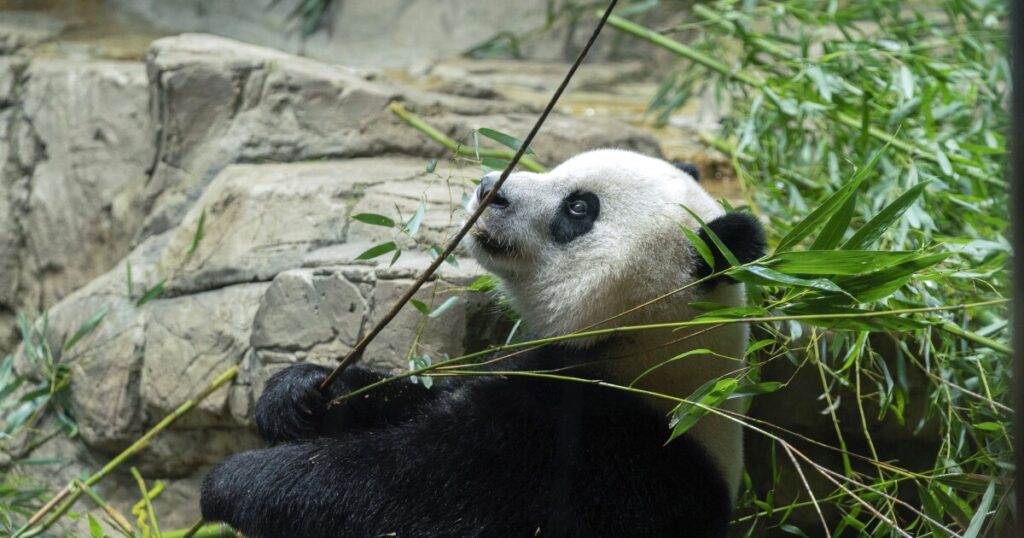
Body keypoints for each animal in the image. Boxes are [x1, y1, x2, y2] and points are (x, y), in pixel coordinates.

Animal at [200, 149, 766, 537]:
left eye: (579, 207)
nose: (490, 186)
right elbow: (418, 396)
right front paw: (298, 395)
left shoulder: (595, 446)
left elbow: (407, 494)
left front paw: (235, 482)